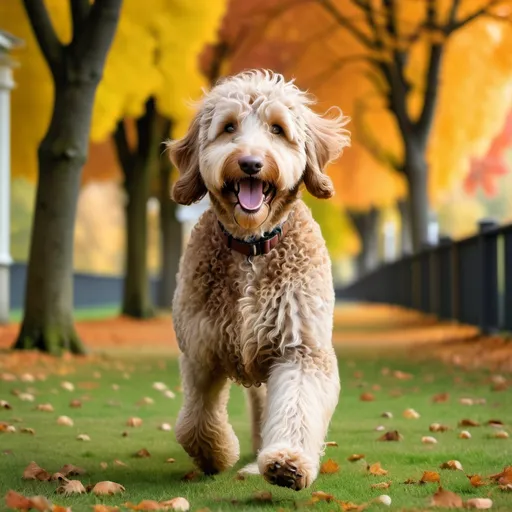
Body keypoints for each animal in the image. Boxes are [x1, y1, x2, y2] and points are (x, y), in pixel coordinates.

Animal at [170, 70, 350, 490]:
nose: (250, 163)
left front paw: (287, 461)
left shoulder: (301, 348)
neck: (251, 247)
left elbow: (297, 405)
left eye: (277, 129)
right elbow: (194, 420)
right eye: (228, 127)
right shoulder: (200, 351)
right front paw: (215, 455)